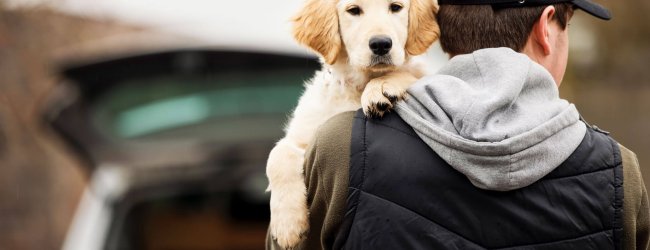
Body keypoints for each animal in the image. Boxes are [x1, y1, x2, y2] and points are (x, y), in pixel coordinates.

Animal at [266, 0, 438, 246]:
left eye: (396, 7)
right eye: (353, 10)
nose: (381, 44)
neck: (358, 85)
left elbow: (411, 74)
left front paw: (382, 86)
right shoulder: (305, 134)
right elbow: (277, 155)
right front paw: (287, 225)